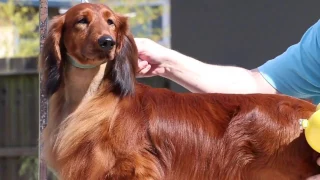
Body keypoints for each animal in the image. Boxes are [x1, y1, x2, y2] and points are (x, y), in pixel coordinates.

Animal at [40, 2, 320, 180]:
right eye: (81, 21)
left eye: (111, 22)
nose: (107, 42)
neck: (91, 98)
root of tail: (309, 111)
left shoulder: (134, 170)